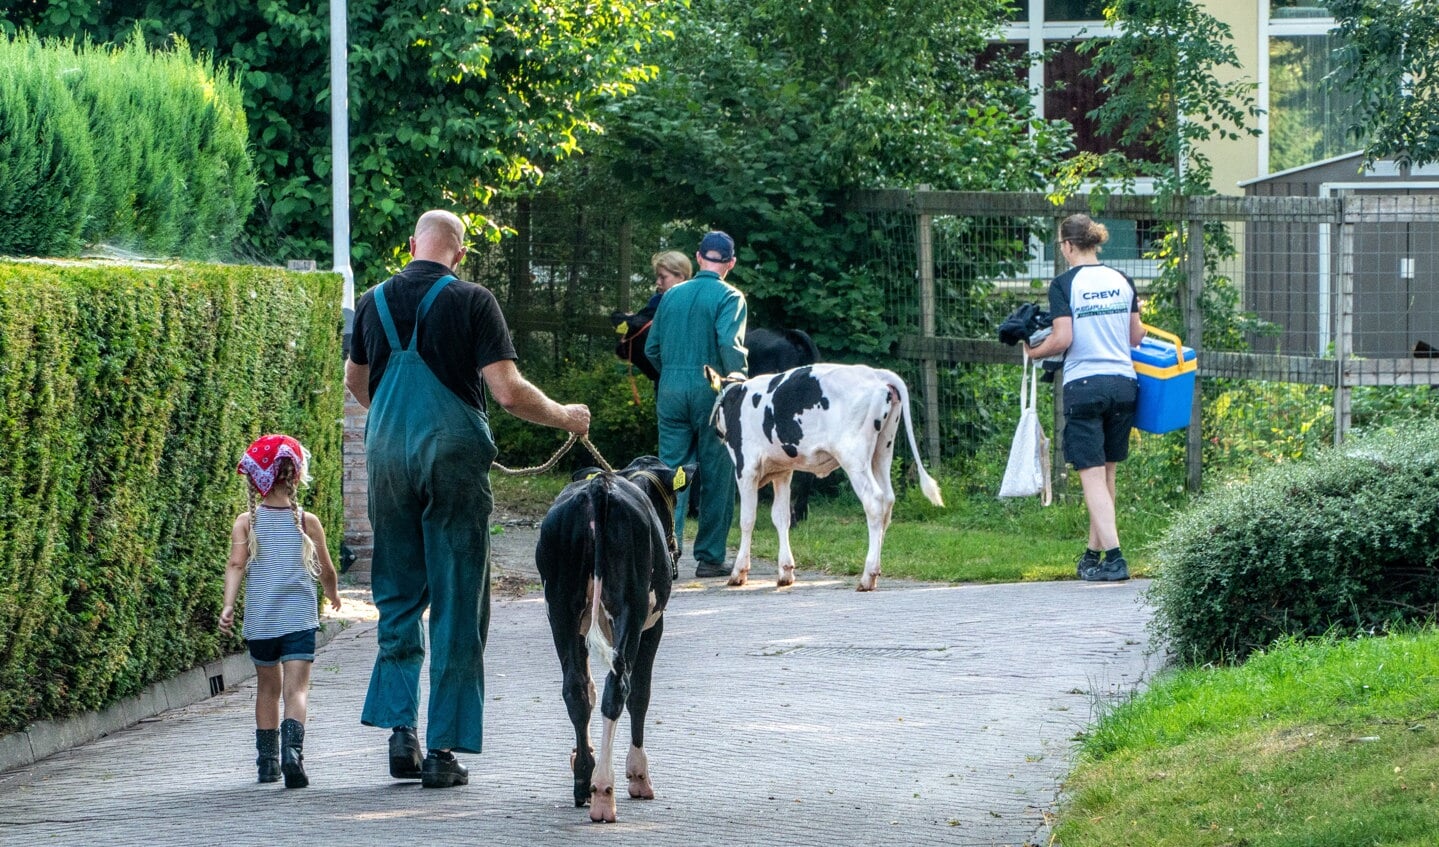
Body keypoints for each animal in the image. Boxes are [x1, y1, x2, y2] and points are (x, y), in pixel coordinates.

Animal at [541, 454, 696, 816]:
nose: (676, 552)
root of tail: (599, 487)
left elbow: (587, 686)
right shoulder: (653, 626)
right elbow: (641, 693)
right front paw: (638, 774)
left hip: (560, 607)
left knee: (576, 689)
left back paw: (584, 781)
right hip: (631, 605)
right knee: (618, 688)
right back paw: (603, 791)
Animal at [705, 363, 943, 586]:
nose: (716, 432)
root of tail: (875, 373)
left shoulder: (746, 468)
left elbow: (747, 519)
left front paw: (739, 572)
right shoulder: (783, 470)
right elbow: (781, 517)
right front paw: (785, 571)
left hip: (854, 456)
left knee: (875, 501)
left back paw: (868, 576)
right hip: (883, 450)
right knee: (888, 501)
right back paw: (876, 568)